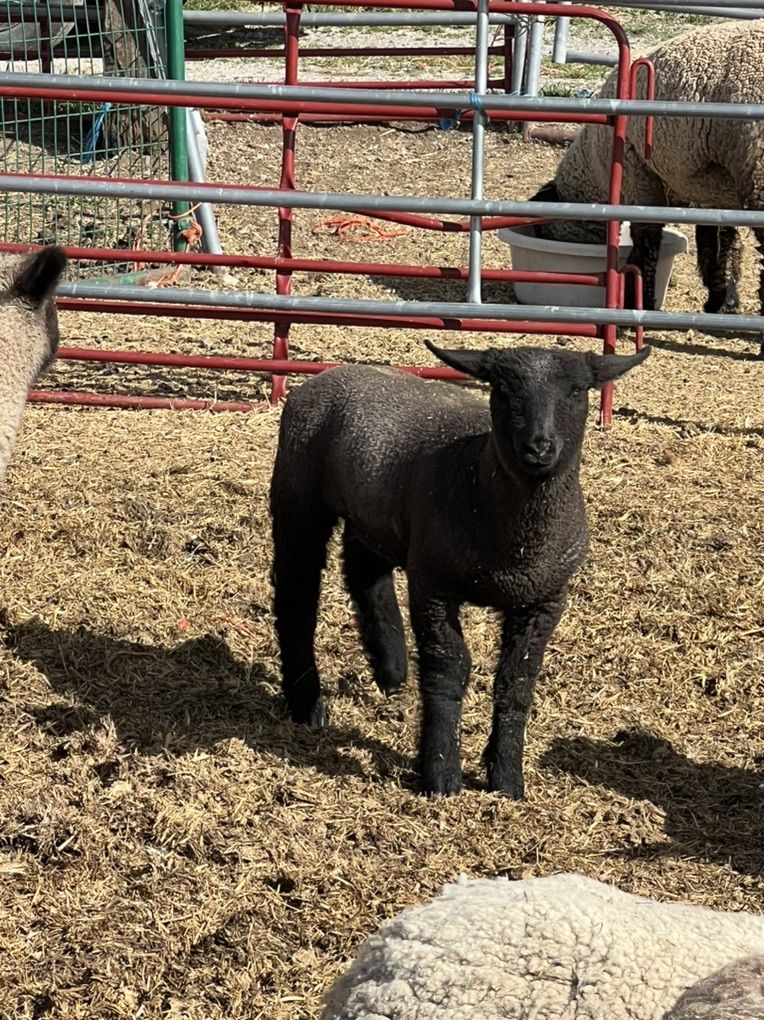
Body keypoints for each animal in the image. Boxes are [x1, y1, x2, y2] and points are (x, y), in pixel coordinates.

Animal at [269, 340, 650, 797]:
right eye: (502, 389)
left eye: (577, 391)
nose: (539, 448)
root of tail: (332, 373)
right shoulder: (433, 585)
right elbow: (448, 670)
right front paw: (441, 774)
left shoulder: (546, 599)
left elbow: (517, 681)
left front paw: (507, 778)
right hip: (298, 496)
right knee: (296, 597)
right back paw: (308, 704)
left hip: (375, 513)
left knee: (364, 572)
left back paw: (391, 669)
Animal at [529, 19, 764, 338]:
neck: (596, 165)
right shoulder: (711, 188)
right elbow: (719, 241)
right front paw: (723, 300)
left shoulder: (639, 175)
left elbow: (647, 242)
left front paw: (639, 303)